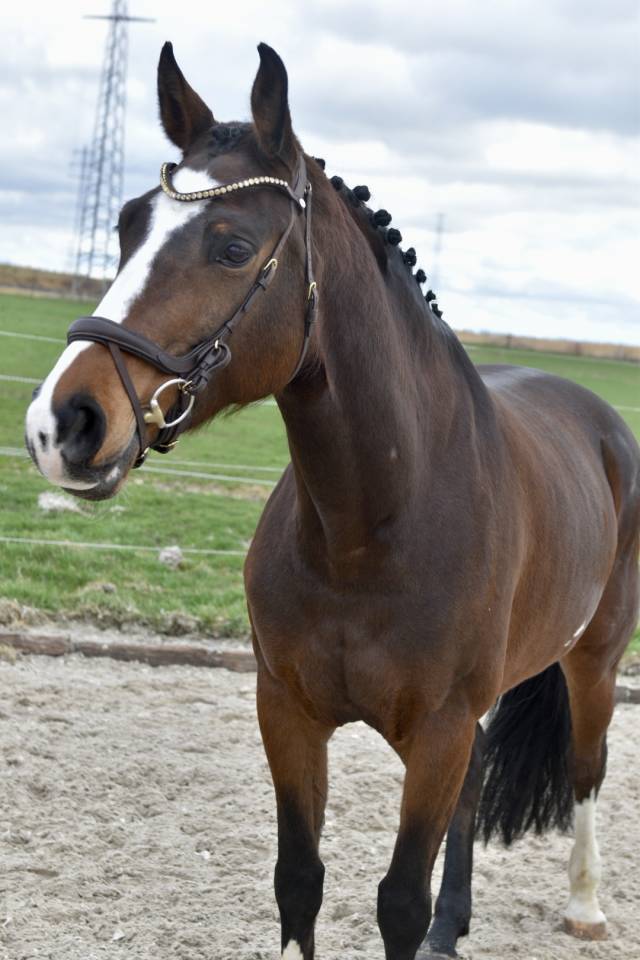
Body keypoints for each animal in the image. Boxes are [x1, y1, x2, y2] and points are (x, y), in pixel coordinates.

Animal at [25, 42, 639, 960]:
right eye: (128, 224)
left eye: (233, 246)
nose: (60, 422)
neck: (371, 526)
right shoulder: (288, 714)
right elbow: (299, 883)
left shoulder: (437, 733)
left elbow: (398, 900)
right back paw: (455, 927)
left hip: (595, 656)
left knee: (587, 768)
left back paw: (587, 906)